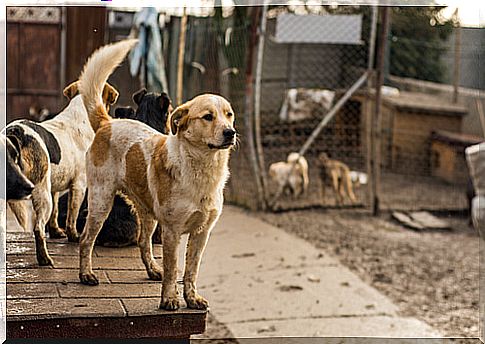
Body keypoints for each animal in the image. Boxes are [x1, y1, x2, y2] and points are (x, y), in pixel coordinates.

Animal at [6, 81, 119, 266]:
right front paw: (73, 236)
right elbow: (72, 215)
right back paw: (44, 259)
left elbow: (56, 212)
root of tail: (15, 132)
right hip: (41, 193)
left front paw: (56, 232)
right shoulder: (79, 185)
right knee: (38, 228)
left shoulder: (54, 187)